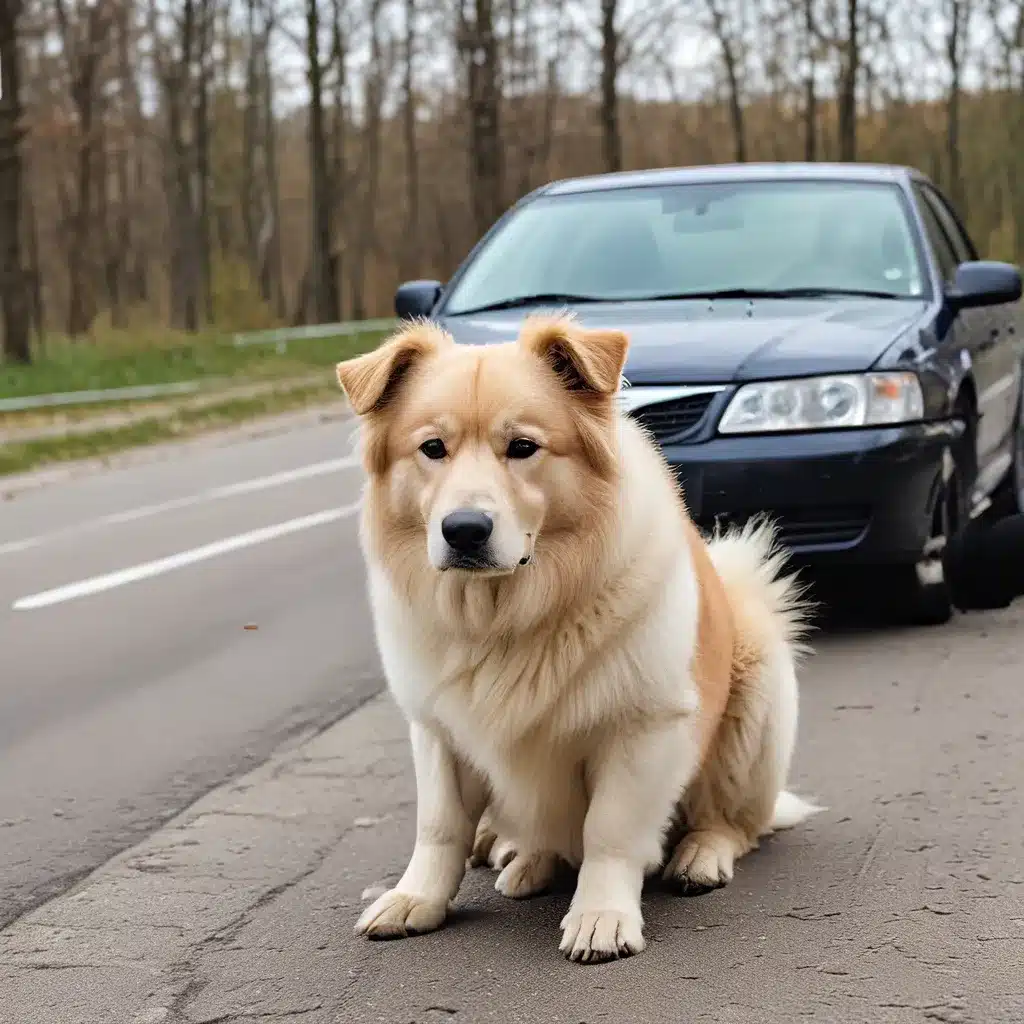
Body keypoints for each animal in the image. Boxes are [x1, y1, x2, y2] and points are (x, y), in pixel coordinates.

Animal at [339, 311, 819, 958]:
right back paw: (527, 863)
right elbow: (439, 826)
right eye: (432, 449)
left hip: (756, 683)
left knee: (735, 823)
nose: (463, 530)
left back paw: (700, 855)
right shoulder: (437, 730)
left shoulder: (642, 726)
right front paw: (417, 898)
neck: (505, 616)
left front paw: (601, 914)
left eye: (523, 447)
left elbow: (609, 832)